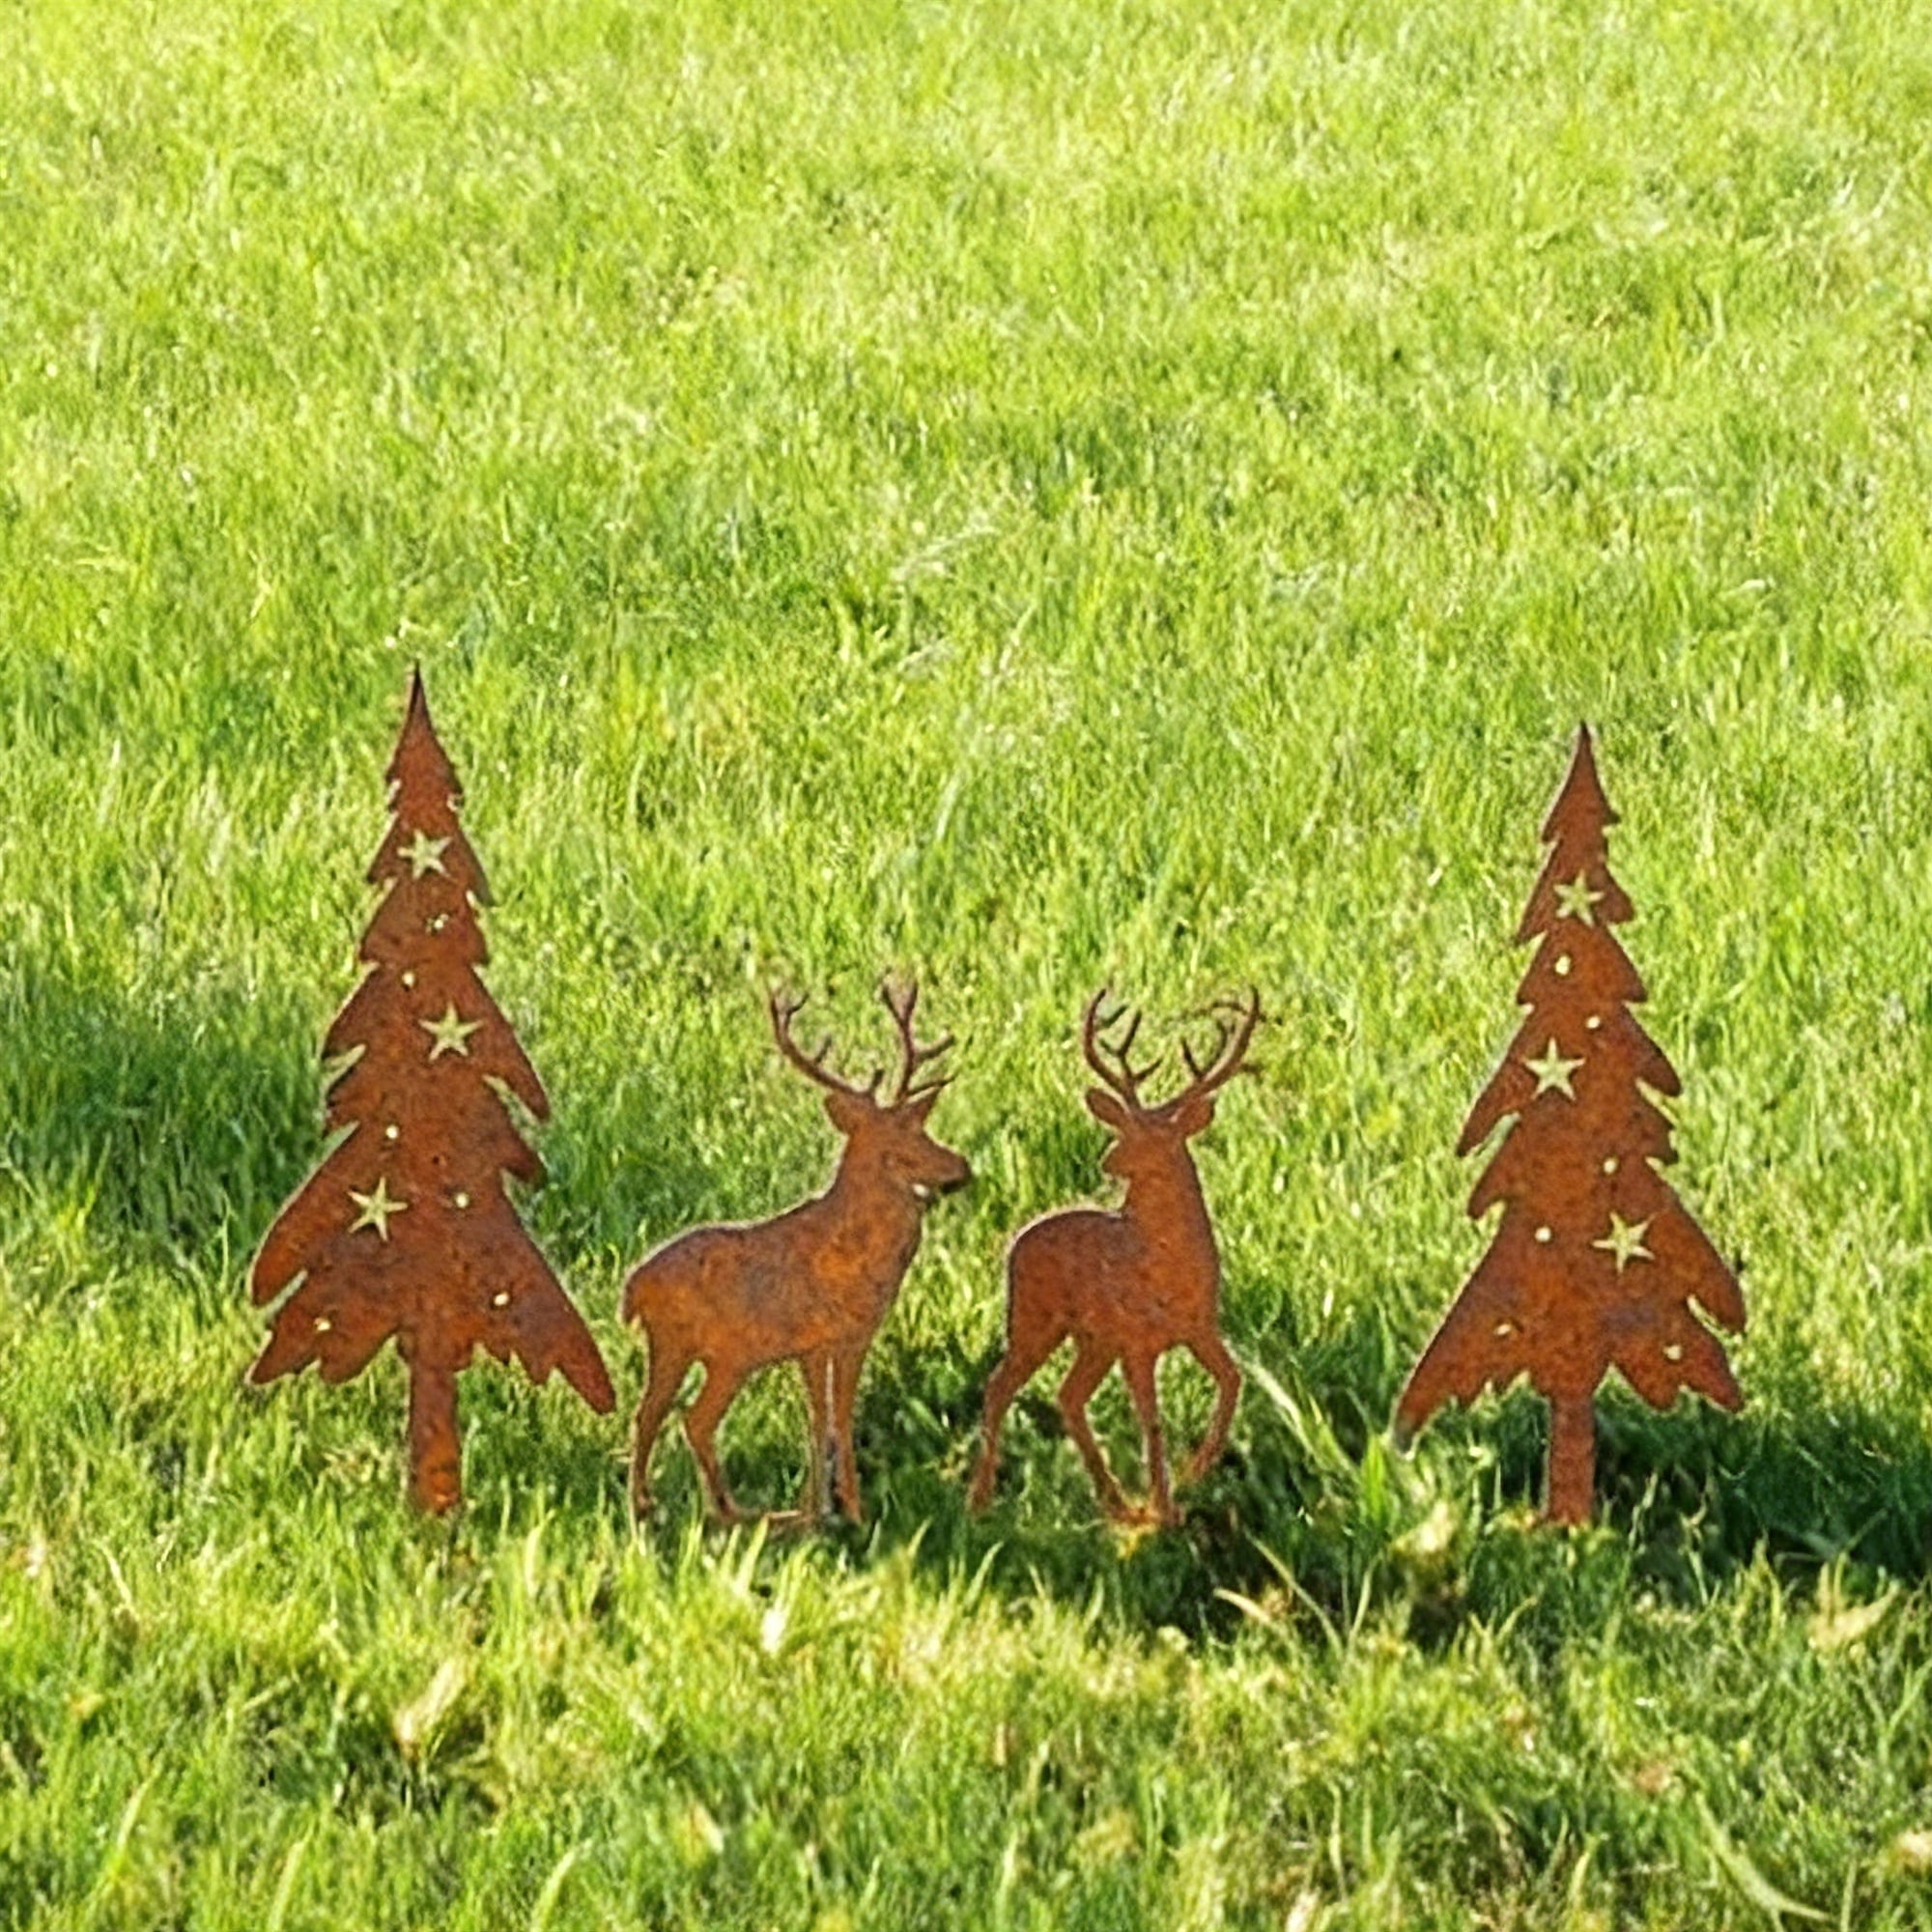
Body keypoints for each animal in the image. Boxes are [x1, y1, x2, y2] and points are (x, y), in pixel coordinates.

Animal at [622, 980, 971, 1525]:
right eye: (902, 1138)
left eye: (922, 1128)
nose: (961, 1168)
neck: (856, 1258)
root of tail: (632, 1288)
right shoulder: (830, 1336)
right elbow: (831, 1418)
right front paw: (842, 1512)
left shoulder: (833, 1341)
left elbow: (828, 1418)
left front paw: (830, 1510)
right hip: (694, 1345)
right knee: (667, 1415)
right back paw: (665, 1508)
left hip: (706, 1355)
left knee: (676, 1415)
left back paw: (720, 1510)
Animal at [967, 987, 1260, 1527]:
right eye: (1124, 1128)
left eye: (1160, 1137)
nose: (1108, 1159)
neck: (1163, 1266)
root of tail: (1018, 1239)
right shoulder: (1136, 1341)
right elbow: (1151, 1419)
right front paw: (1165, 1509)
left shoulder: (1199, 1327)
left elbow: (1232, 1380)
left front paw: (1194, 1474)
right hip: (1034, 1319)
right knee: (1000, 1386)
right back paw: (979, 1500)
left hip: (1094, 1338)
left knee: (1068, 1395)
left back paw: (1117, 1503)